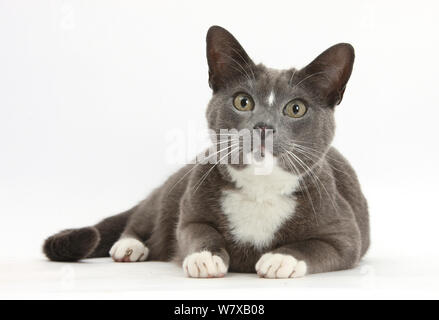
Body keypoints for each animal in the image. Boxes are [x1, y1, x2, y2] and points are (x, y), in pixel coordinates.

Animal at [43, 26, 370, 278]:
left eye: (296, 108)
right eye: (243, 102)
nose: (263, 126)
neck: (260, 189)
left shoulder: (345, 232)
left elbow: (318, 246)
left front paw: (281, 259)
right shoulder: (191, 210)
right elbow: (196, 231)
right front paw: (205, 258)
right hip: (173, 188)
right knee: (141, 217)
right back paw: (130, 245)